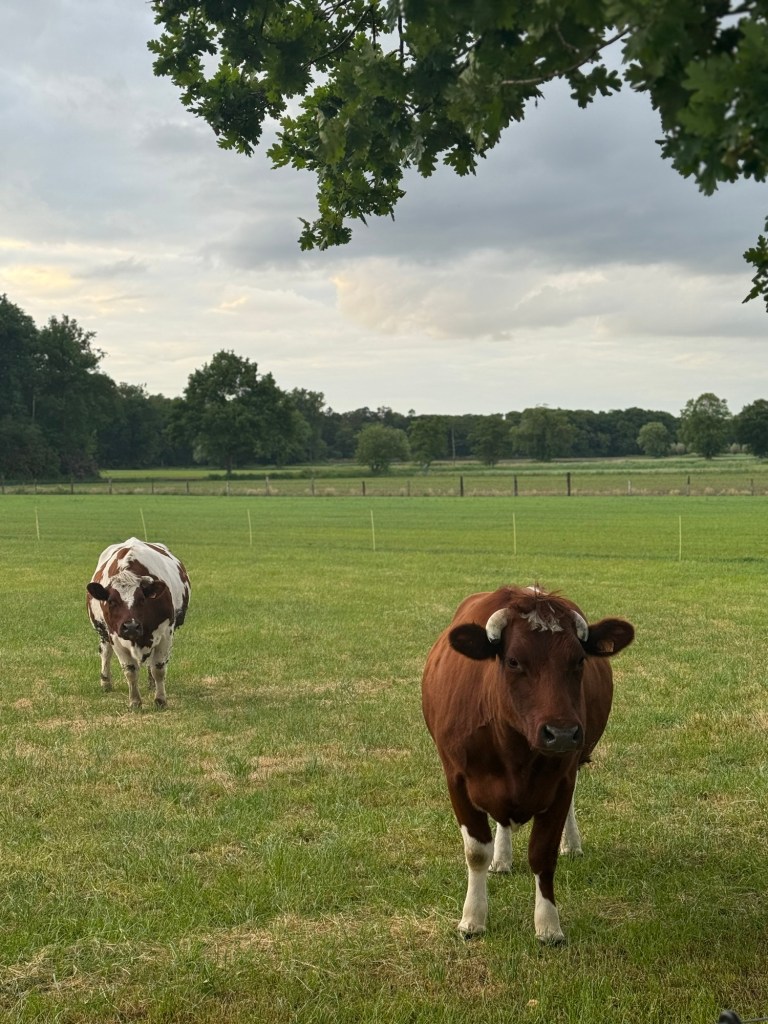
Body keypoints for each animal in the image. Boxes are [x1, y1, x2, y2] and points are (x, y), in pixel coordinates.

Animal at [86, 538, 191, 709]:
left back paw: (152, 684)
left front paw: (160, 699)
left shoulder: (166, 635)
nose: (131, 627)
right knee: (105, 653)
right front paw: (135, 701)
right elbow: (130, 670)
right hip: (103, 633)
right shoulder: (115, 638)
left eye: (142, 599)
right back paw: (105, 682)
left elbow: (158, 668)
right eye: (111, 601)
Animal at [422, 585, 634, 942]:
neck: (513, 749)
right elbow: (475, 852)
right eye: (513, 661)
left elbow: (543, 854)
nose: (561, 733)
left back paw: (571, 844)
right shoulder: (457, 779)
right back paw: (502, 858)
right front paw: (472, 918)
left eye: (579, 660)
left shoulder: (561, 780)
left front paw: (548, 925)